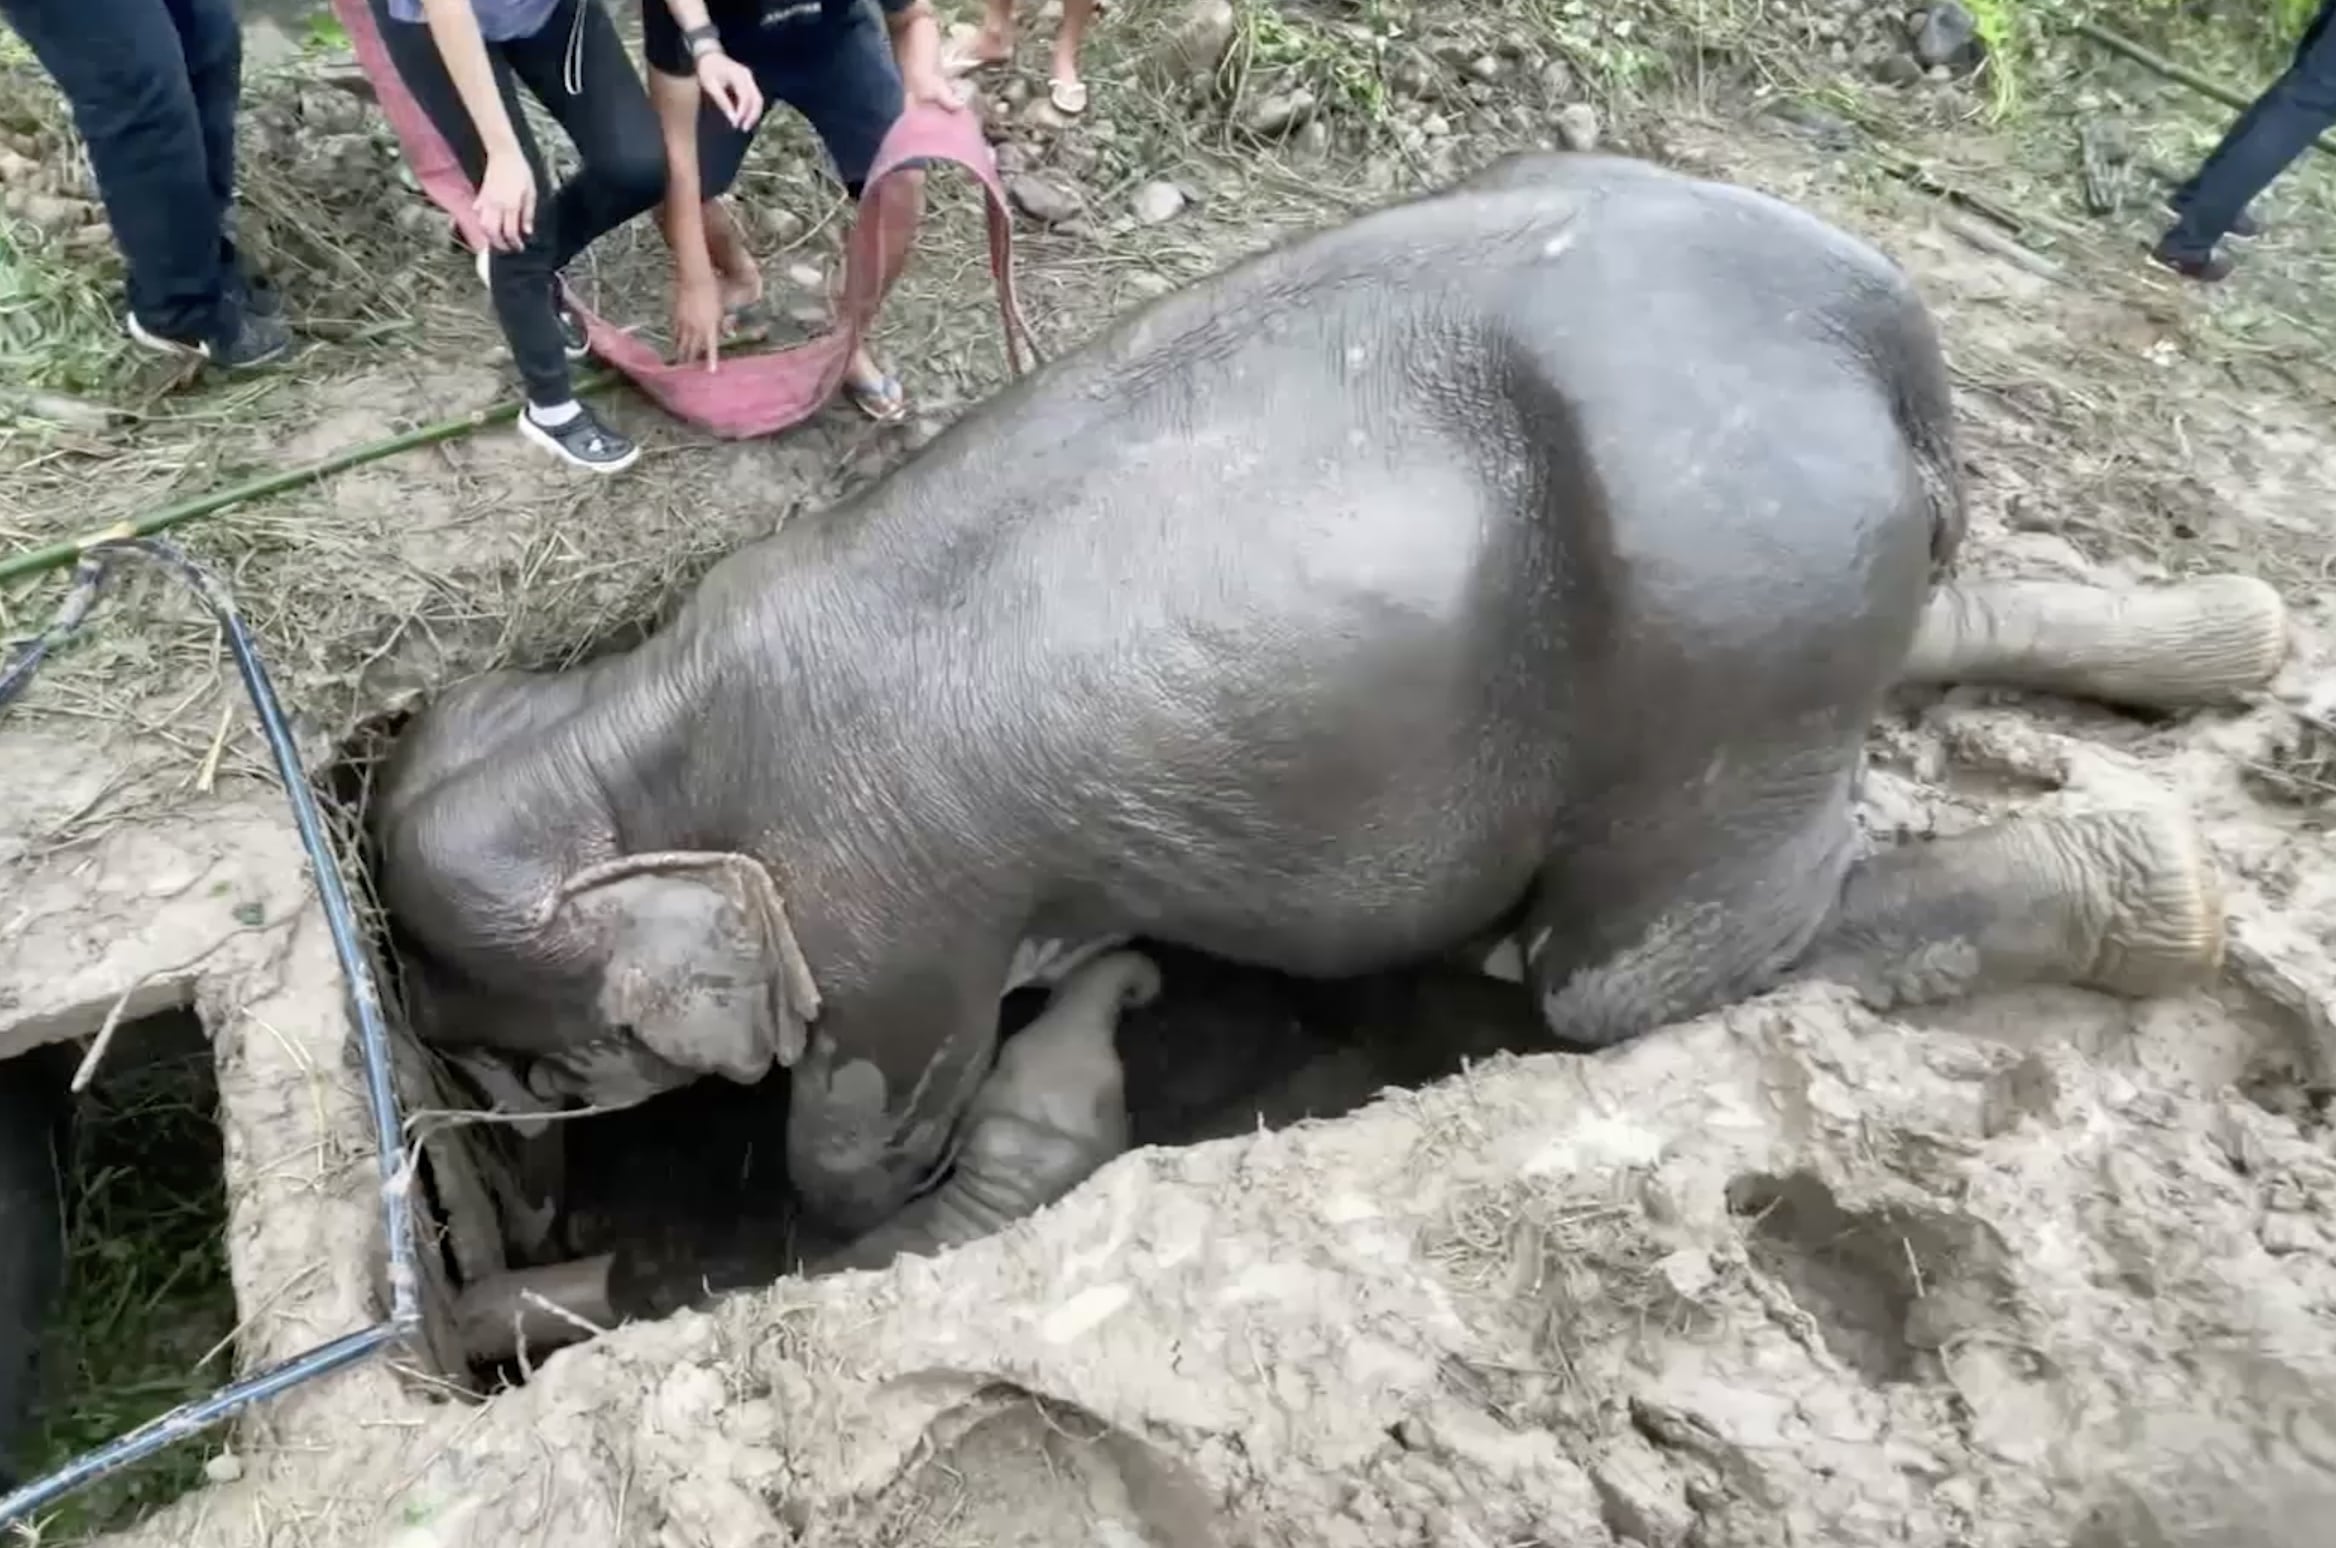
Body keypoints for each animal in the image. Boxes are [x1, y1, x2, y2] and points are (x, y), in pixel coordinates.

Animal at [373, 151, 2289, 1251]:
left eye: (539, 1074)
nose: (524, 1213)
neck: (629, 710)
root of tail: (1886, 323)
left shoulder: (890, 922)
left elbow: (851, 1160)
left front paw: (1059, 1079)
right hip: (1808, 585)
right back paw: (2241, 640)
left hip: (1728, 621)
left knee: (1618, 979)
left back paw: (2164, 884)